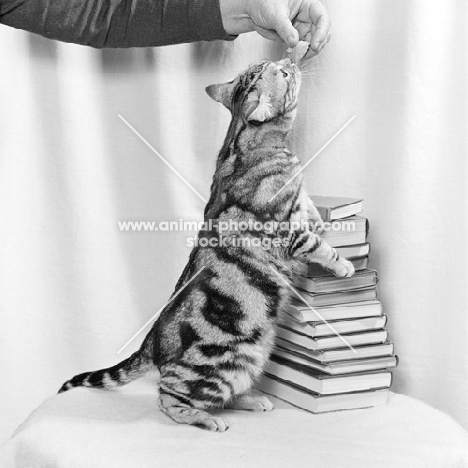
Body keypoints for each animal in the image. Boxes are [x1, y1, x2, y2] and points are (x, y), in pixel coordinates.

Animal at [58, 56, 352, 434]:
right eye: (284, 74)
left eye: (271, 64)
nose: (289, 59)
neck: (245, 141)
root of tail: (151, 344)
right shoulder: (285, 229)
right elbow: (317, 243)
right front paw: (343, 264)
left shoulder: (301, 207)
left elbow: (315, 213)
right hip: (219, 365)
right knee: (169, 398)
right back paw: (206, 419)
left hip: (249, 359)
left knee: (223, 393)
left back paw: (251, 400)